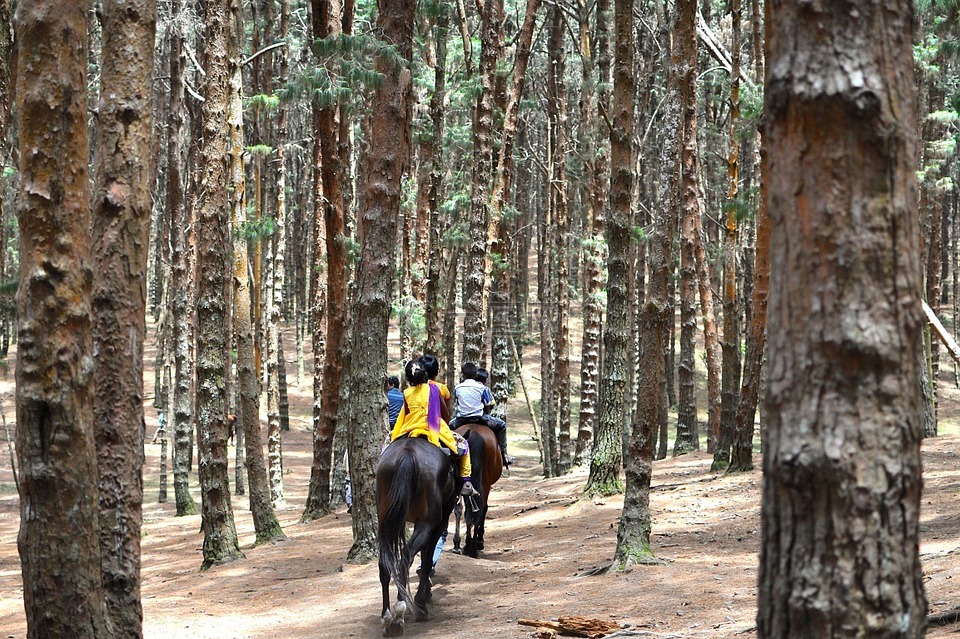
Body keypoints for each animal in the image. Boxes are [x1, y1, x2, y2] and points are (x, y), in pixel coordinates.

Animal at [376, 436, 458, 636]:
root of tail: (408, 451)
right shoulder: (438, 523)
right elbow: (427, 559)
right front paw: (422, 598)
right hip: (427, 522)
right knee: (404, 559)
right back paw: (401, 612)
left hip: (385, 519)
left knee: (386, 563)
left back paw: (387, 616)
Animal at [454, 424, 506, 560]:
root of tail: (474, 432)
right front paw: (479, 541)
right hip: (486, 482)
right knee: (481, 508)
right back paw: (473, 547)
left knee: (462, 509)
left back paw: (462, 545)